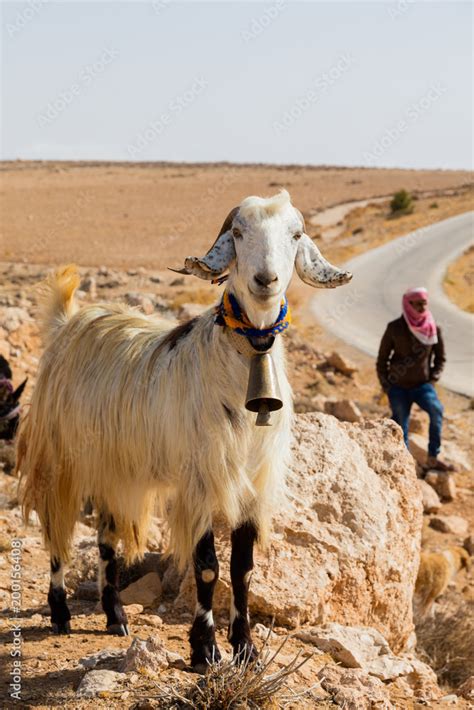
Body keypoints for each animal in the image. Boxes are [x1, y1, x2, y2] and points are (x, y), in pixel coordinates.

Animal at [16, 189, 352, 668]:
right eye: (238, 232)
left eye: (295, 234)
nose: (265, 279)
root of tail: (68, 323)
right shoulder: (201, 480)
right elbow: (208, 566)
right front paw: (205, 649)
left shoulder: (252, 483)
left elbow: (243, 570)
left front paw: (246, 648)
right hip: (62, 457)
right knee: (56, 532)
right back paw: (60, 613)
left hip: (114, 467)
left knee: (105, 538)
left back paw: (115, 617)